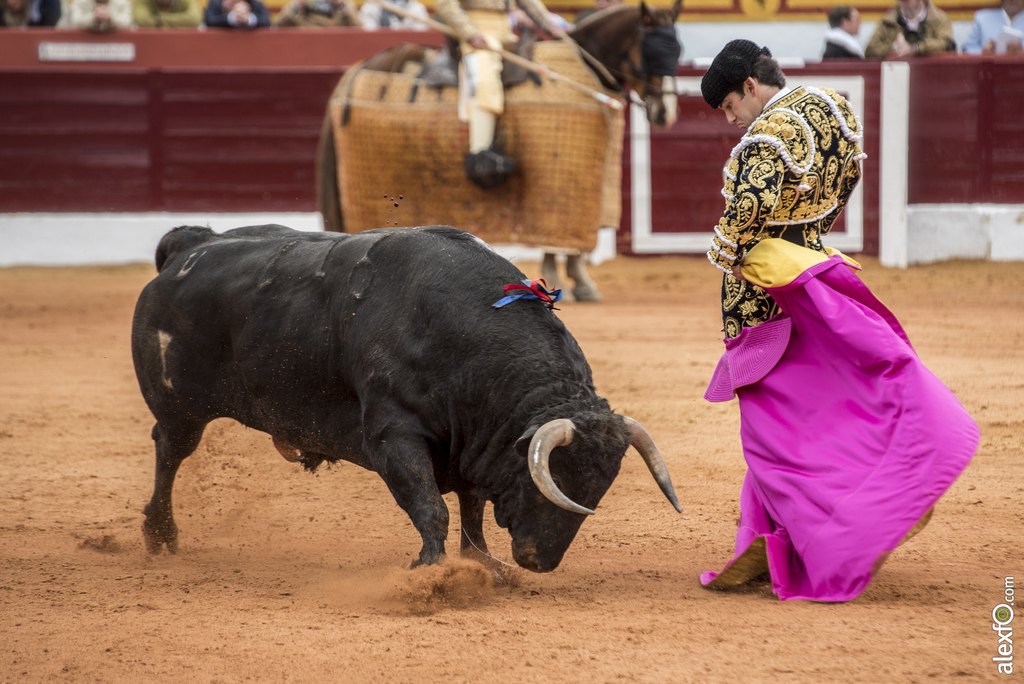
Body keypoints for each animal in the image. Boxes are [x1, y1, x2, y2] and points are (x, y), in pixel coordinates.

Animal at [136, 225, 679, 573]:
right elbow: (429, 504)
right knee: (169, 451)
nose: (538, 561)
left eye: (598, 489)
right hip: (179, 408)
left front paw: (481, 562)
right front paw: (431, 568)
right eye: (556, 478)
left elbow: (471, 507)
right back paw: (160, 534)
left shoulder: (471, 445)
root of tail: (189, 245)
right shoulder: (392, 436)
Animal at [311, 0, 679, 298]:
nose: (666, 113)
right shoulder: (556, 182)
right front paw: (561, 279)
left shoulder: (593, 176)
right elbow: (555, 235)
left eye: (677, 52)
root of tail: (356, 71)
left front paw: (581, 282)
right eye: (653, 52)